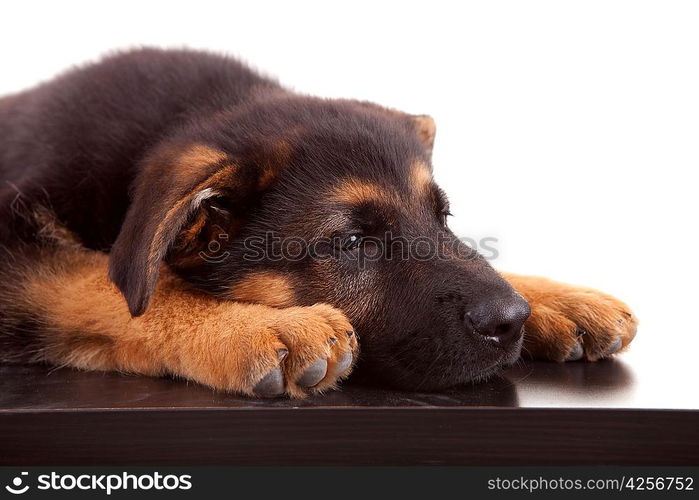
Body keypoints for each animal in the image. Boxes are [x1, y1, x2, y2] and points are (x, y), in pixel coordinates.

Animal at [0, 48, 636, 396]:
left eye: (443, 216)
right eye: (352, 242)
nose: (512, 319)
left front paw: (559, 299)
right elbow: (105, 283)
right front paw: (257, 327)